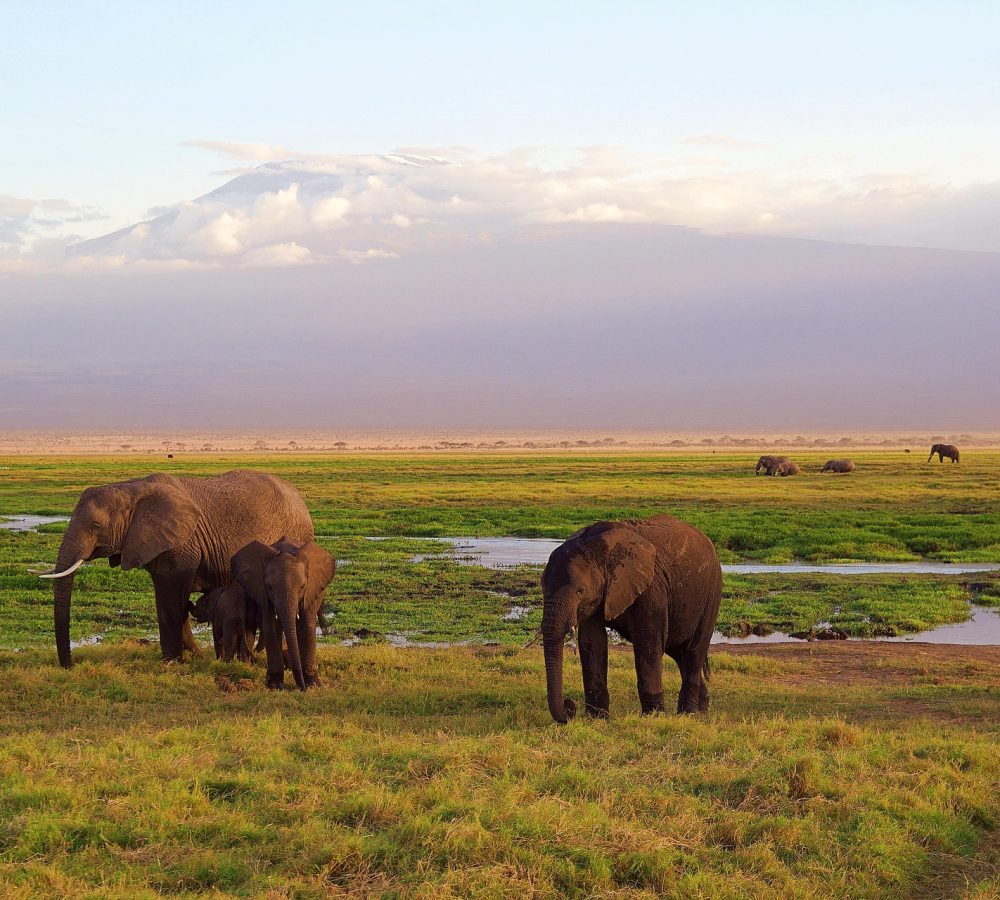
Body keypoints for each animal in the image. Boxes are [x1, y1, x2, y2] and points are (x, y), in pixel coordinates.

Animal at [39, 471, 314, 667]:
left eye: (95, 527)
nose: (69, 665)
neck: (130, 488)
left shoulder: (180, 544)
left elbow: (171, 599)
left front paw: (171, 663)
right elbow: (171, 602)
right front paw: (192, 656)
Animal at [232, 538, 336, 690]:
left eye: (302, 587)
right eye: (270, 588)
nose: (301, 688)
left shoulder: (310, 592)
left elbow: (307, 627)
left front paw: (313, 685)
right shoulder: (264, 594)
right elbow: (272, 627)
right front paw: (275, 686)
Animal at [540, 515, 723, 723]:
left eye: (580, 591)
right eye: (542, 587)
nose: (570, 707)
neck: (600, 548)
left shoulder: (651, 587)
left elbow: (648, 642)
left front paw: (653, 717)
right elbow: (592, 641)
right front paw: (597, 719)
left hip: (711, 595)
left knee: (693, 651)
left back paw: (688, 714)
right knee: (678, 652)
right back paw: (702, 710)